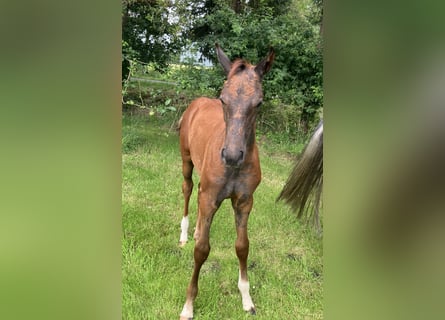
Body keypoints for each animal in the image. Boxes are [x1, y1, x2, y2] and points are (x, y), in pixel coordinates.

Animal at [177, 43, 274, 318]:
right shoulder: (211, 197)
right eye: (223, 99)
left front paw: (247, 299)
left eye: (259, 103)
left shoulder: (244, 201)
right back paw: (185, 234)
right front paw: (188, 305)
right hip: (186, 160)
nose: (231, 155)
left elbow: (242, 246)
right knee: (188, 189)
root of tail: (197, 102)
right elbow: (202, 251)